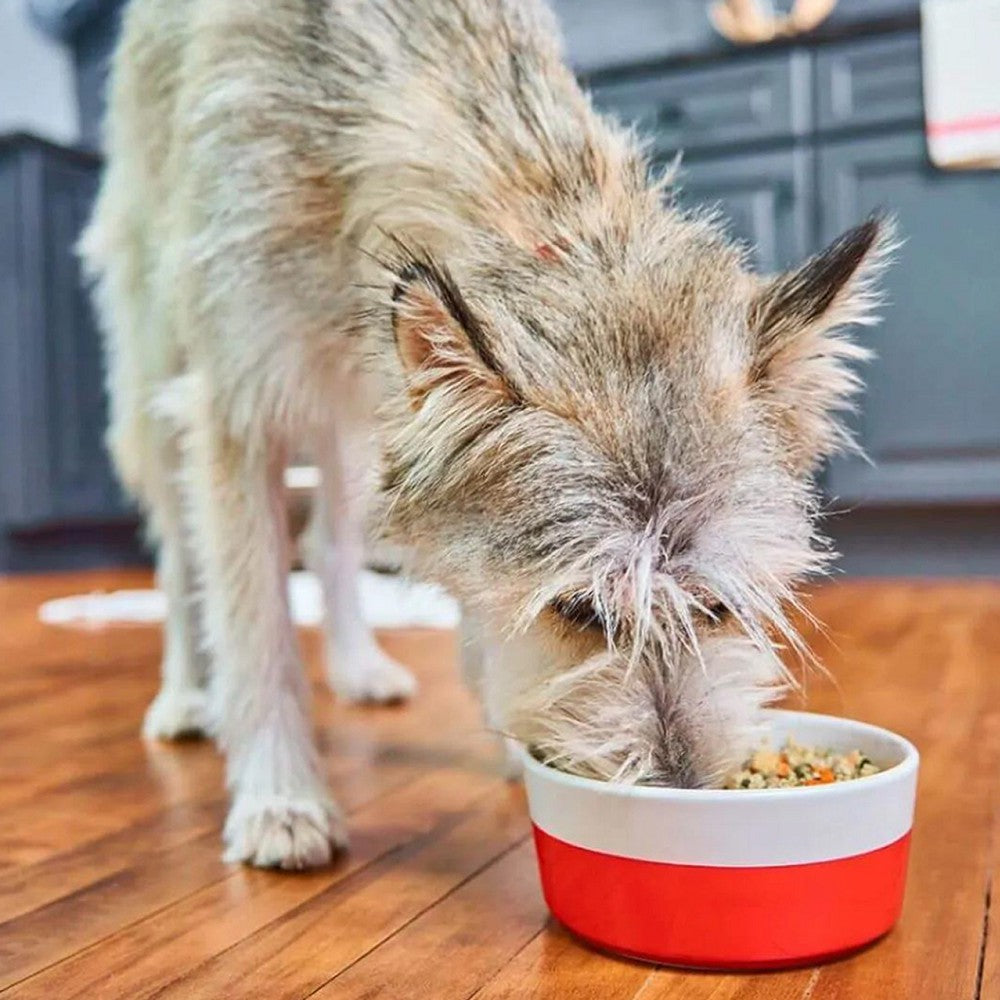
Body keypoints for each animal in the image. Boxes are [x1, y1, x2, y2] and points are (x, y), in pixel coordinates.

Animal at [80, 0, 892, 868]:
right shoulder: (237, 402)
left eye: (714, 608)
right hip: (151, 365)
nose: (682, 792)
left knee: (330, 539)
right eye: (579, 611)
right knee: (177, 550)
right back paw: (184, 694)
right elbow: (254, 625)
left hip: (355, 422)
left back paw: (359, 665)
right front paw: (279, 797)